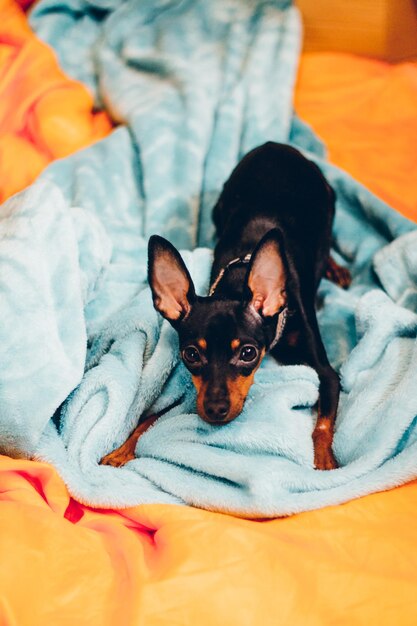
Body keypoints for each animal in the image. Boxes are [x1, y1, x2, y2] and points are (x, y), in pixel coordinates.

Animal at [102, 140, 350, 468]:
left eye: (248, 353)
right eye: (191, 354)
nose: (215, 409)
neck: (239, 276)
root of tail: (276, 145)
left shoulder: (328, 374)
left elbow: (322, 426)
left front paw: (324, 463)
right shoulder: (193, 390)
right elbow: (151, 417)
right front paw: (121, 449)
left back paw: (335, 267)